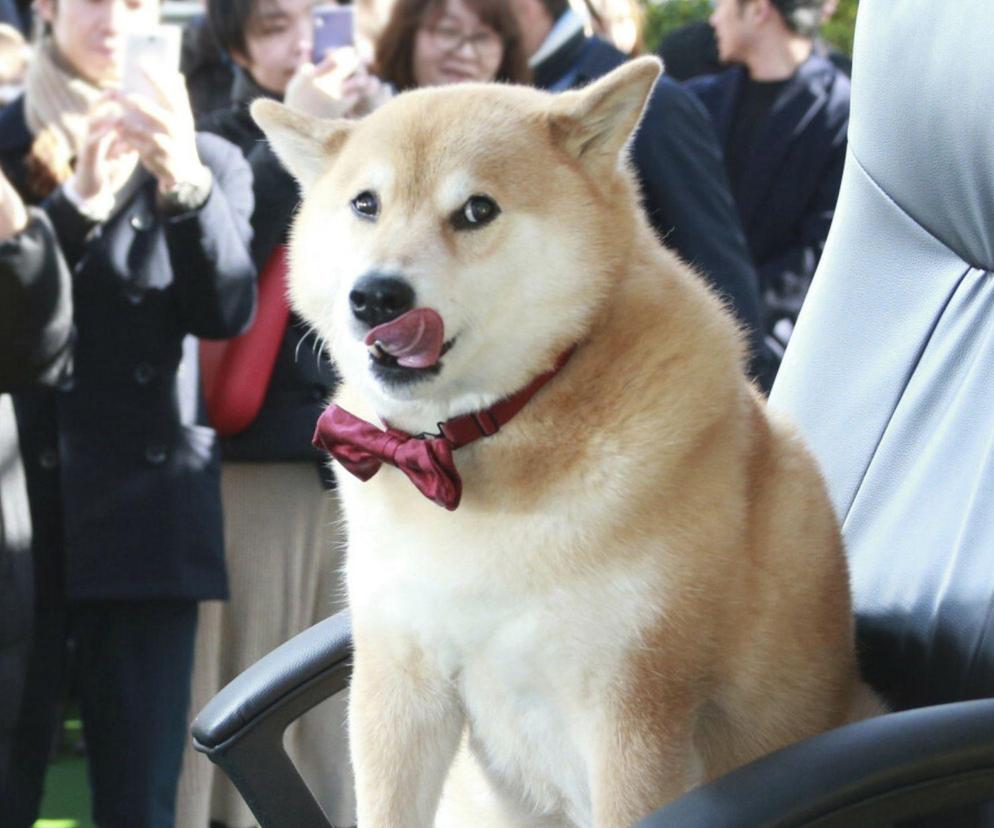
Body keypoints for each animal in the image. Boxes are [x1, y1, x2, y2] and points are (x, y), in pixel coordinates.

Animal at [254, 58, 876, 828]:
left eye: (476, 210)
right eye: (365, 204)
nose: (375, 297)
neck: (476, 443)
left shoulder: (632, 712)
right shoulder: (398, 679)